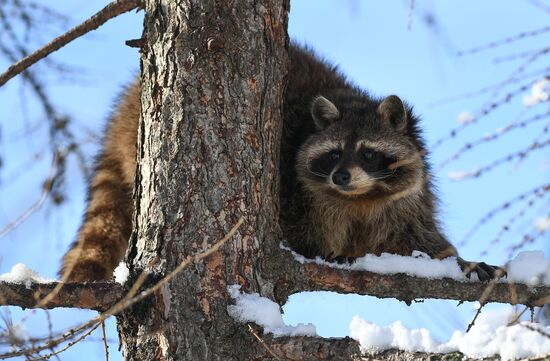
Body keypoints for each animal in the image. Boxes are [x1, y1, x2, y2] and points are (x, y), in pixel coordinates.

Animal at [60, 44, 500, 282]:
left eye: (369, 153)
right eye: (334, 154)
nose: (341, 176)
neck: (361, 198)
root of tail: (126, 104)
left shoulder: (405, 202)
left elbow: (418, 240)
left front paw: (459, 262)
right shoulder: (296, 190)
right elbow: (291, 224)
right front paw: (315, 251)